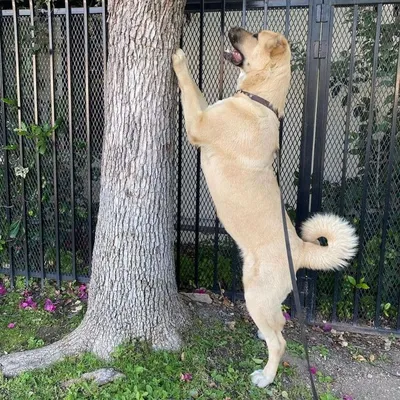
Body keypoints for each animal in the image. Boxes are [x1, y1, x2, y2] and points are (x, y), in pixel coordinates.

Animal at [173, 27, 358, 388]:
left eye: (255, 35)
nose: (232, 29)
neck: (259, 100)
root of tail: (300, 249)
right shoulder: (204, 113)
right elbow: (198, 91)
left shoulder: (198, 123)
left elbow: (189, 85)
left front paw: (179, 58)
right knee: (279, 324)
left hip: (255, 294)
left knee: (280, 341)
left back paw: (266, 376)